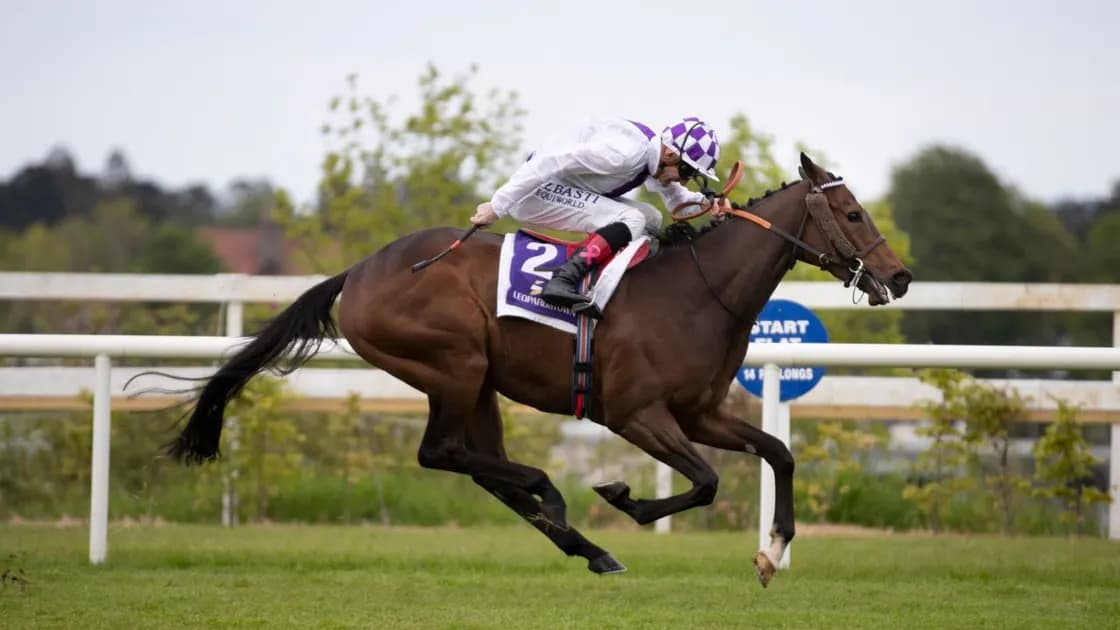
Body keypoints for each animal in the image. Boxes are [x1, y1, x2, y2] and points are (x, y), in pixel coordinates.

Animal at [167, 153, 911, 587]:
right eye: (852, 213)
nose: (900, 276)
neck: (695, 293)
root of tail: (360, 271)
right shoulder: (638, 415)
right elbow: (704, 482)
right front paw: (624, 498)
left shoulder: (700, 411)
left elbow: (778, 453)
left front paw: (771, 552)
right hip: (454, 362)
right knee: (442, 453)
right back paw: (553, 494)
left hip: (478, 384)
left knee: (477, 465)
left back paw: (584, 544)